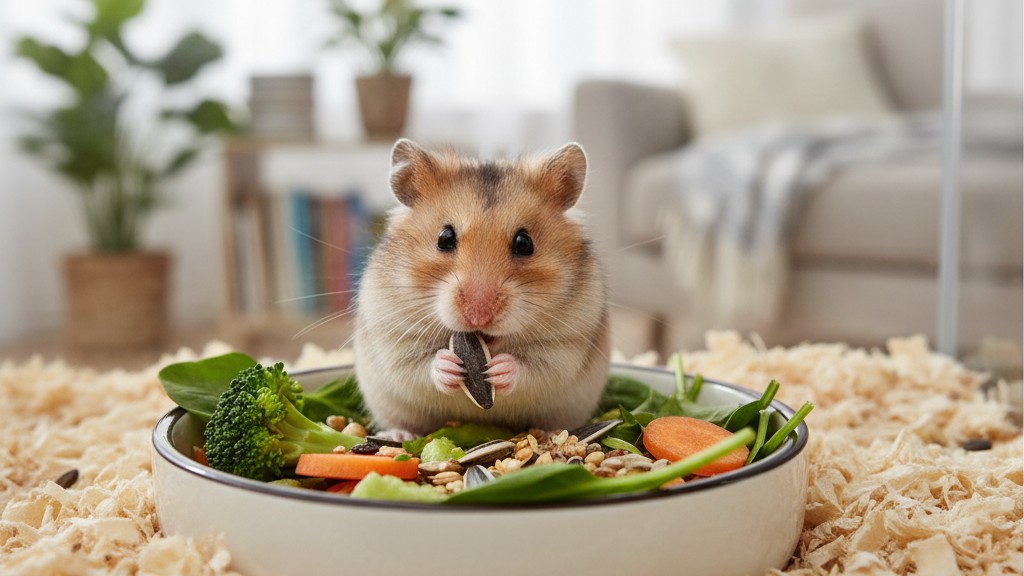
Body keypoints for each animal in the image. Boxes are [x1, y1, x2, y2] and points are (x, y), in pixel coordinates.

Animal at [353, 139, 610, 435]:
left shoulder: (565, 346)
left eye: (525, 243)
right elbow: (420, 365)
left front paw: (495, 370)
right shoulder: (395, 338)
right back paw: (398, 434)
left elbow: (533, 369)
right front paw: (450, 365)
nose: (479, 316)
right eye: (445, 238)